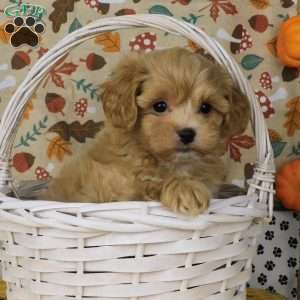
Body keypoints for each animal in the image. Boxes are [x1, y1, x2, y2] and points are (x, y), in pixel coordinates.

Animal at [44, 47, 250, 216]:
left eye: (206, 108)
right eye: (159, 106)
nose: (187, 133)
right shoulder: (113, 189)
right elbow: (150, 185)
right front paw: (186, 189)